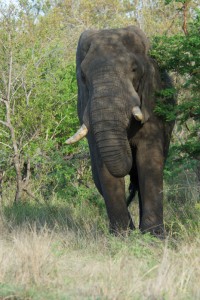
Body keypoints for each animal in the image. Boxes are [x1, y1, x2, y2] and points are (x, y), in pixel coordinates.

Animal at [66, 25, 175, 237]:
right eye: (83, 76)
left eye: (134, 69)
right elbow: (103, 166)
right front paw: (122, 235)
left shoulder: (152, 100)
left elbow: (149, 159)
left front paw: (154, 236)